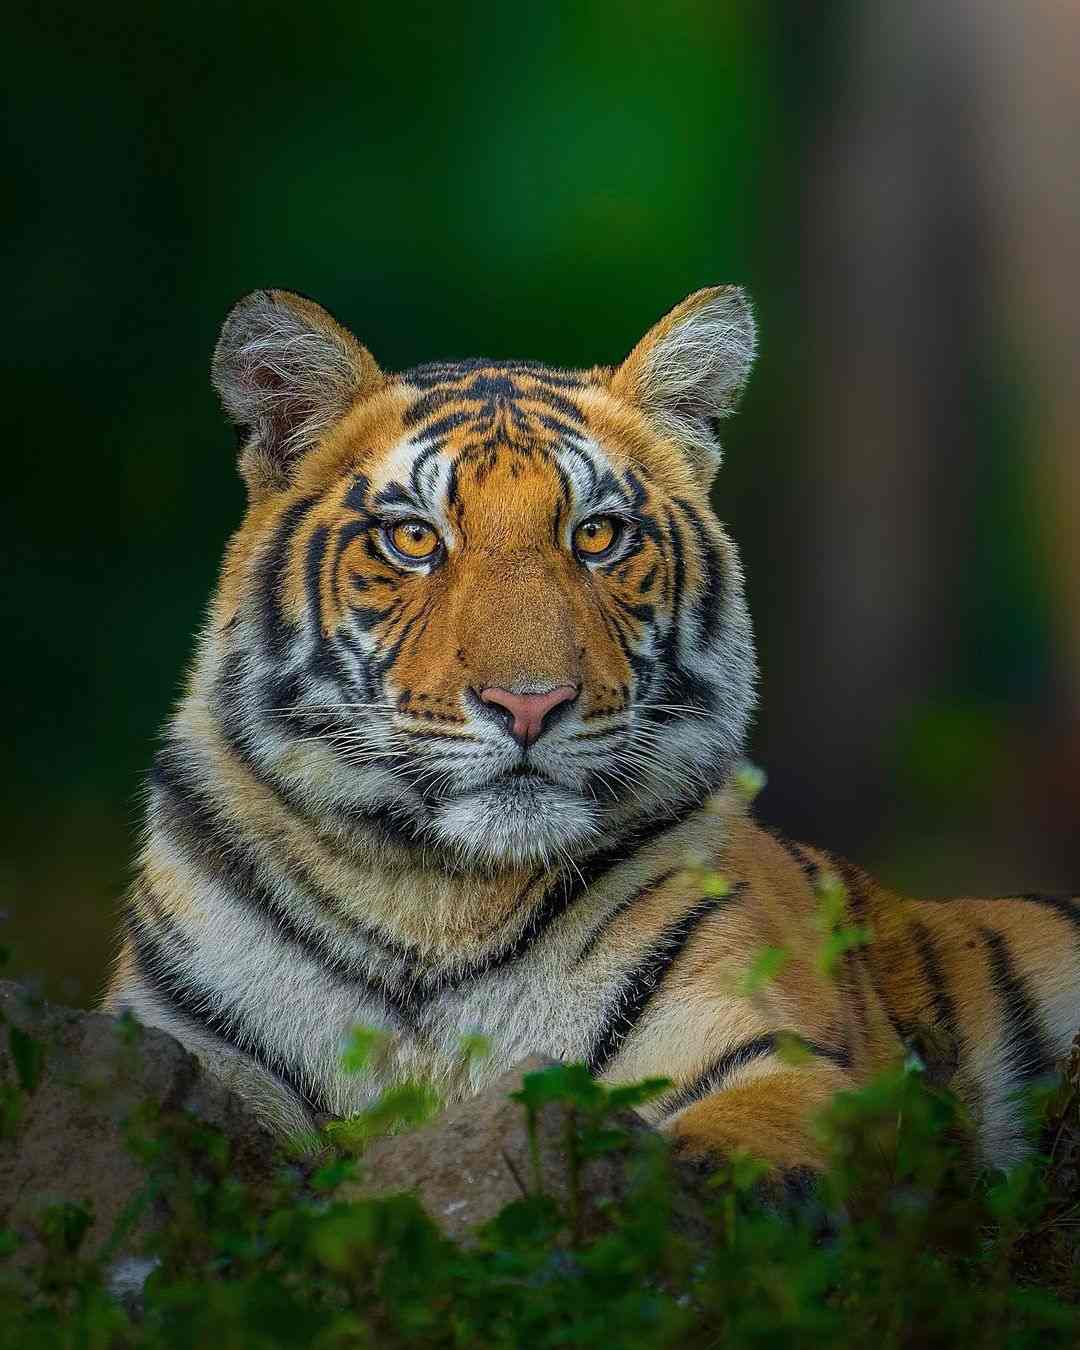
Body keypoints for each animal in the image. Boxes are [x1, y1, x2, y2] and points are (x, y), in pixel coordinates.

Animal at [104, 284, 1080, 1177]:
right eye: (414, 539)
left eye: (599, 535)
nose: (529, 704)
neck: (434, 903)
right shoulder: (179, 1048)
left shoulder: (772, 1058)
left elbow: (735, 1161)